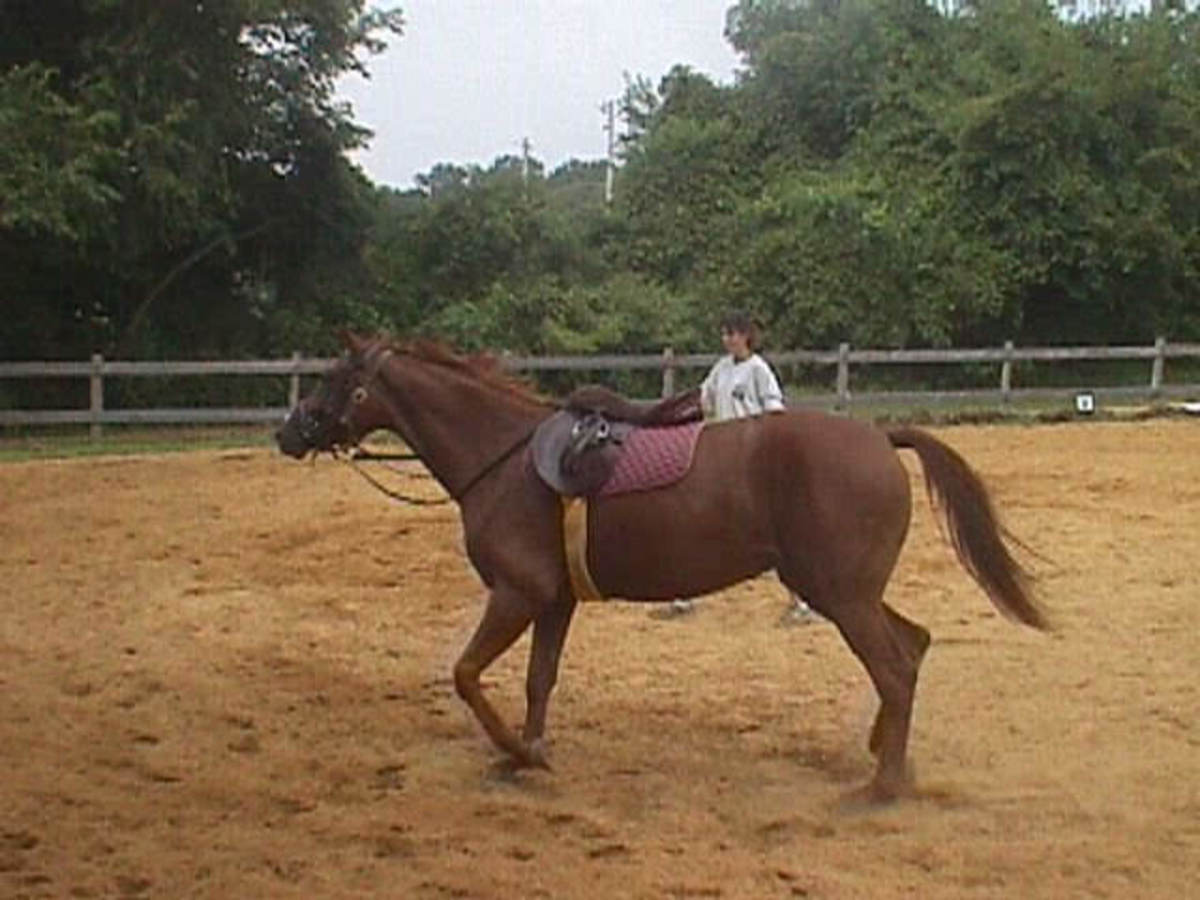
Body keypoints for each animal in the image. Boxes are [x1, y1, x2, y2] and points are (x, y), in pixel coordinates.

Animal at [276, 332, 1047, 801]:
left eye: (337, 378)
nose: (287, 432)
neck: (505, 457)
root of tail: (880, 437)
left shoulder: (517, 593)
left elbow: (467, 674)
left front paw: (516, 751)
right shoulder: (554, 601)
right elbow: (537, 680)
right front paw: (529, 753)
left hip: (840, 595)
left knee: (894, 666)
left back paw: (880, 788)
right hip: (840, 589)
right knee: (912, 647)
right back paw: (888, 755)